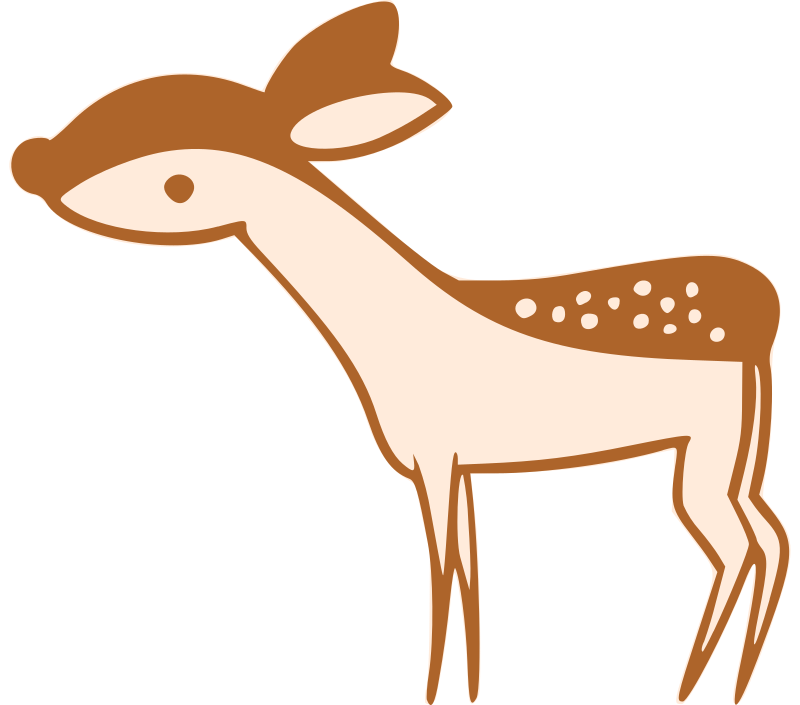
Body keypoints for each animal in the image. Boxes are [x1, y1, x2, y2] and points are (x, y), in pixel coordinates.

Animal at [11, 2, 789, 703]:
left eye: (179, 185)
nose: (31, 163)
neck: (398, 332)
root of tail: (769, 324)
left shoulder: (435, 458)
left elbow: (442, 575)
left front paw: (434, 686)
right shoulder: (460, 466)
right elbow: (469, 576)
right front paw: (470, 687)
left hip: (708, 450)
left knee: (742, 546)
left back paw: (695, 680)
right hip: (731, 455)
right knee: (768, 536)